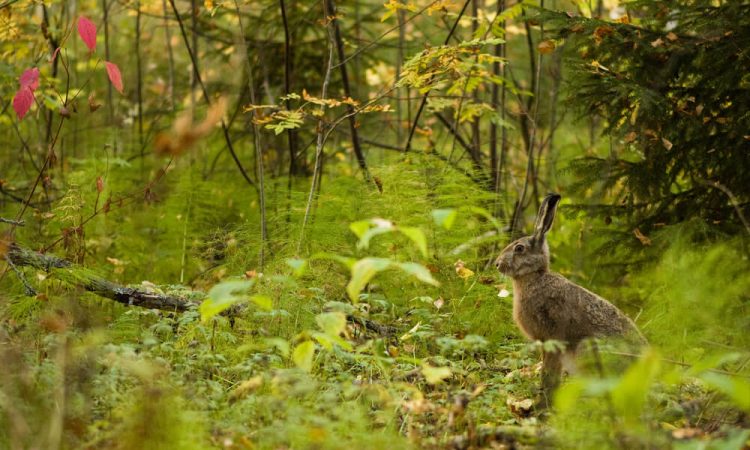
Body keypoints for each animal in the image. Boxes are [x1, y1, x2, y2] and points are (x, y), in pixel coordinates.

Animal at [494, 193, 645, 405]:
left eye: (519, 248)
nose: (497, 264)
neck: (535, 276)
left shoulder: (552, 337)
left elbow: (549, 371)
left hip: (588, 351)